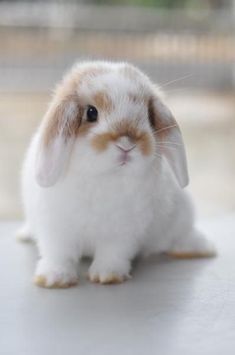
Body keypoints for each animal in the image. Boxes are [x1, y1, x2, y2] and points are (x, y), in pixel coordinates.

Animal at [17, 61, 216, 290]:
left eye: (149, 115)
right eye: (91, 113)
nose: (127, 144)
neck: (104, 177)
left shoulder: (123, 232)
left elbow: (112, 253)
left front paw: (107, 276)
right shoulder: (55, 229)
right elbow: (58, 254)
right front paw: (54, 279)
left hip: (181, 217)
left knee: (183, 234)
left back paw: (199, 248)